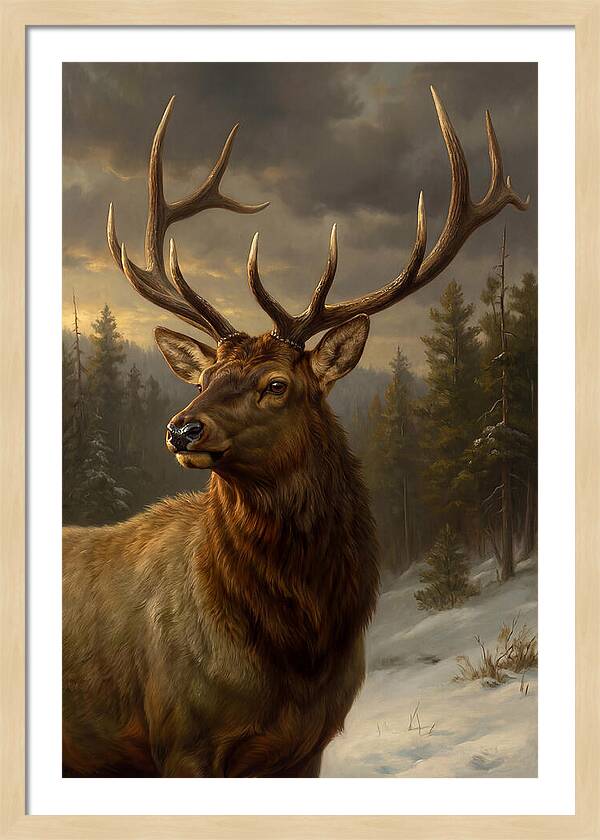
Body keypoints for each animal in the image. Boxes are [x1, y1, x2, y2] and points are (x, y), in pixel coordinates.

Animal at [62, 87, 529, 777]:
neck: (297, 651)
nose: (181, 429)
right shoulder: (179, 739)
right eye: (205, 377)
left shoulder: (307, 745)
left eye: (277, 384)